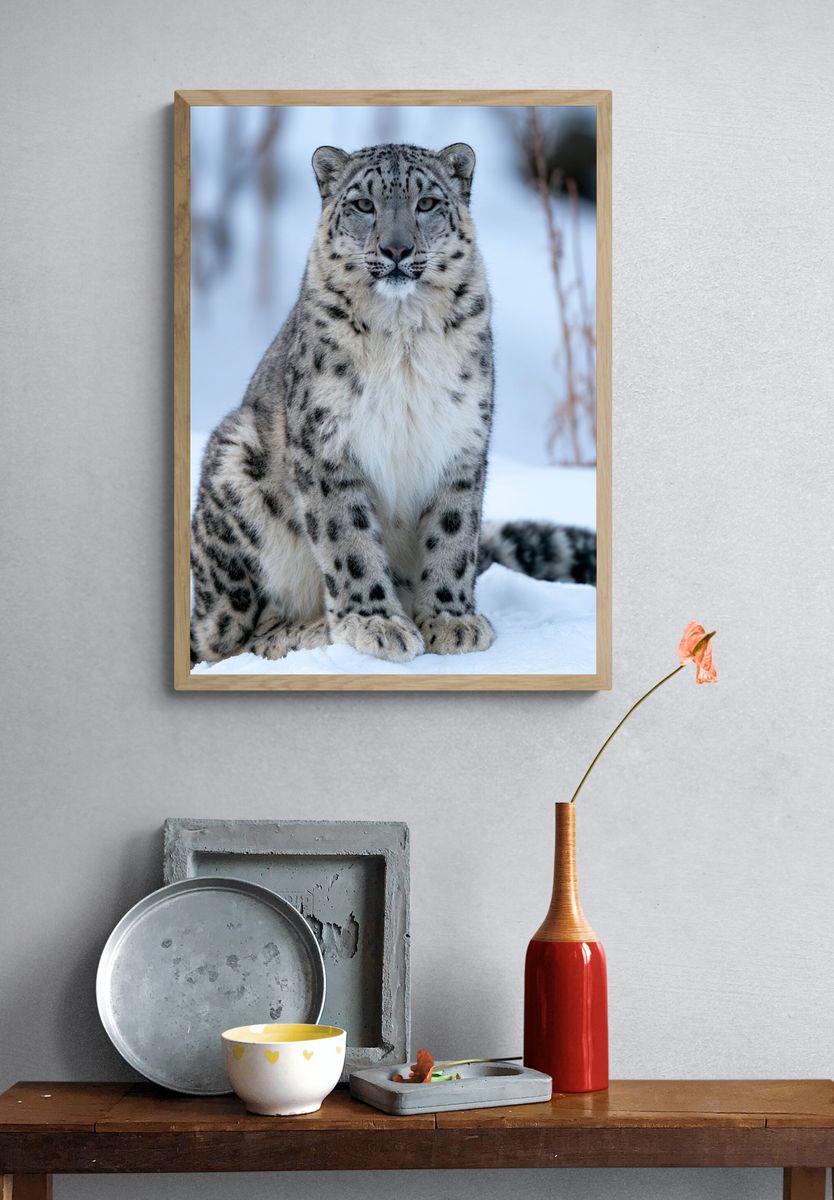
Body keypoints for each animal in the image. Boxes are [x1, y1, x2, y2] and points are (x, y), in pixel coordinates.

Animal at [190, 141, 595, 666]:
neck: (404, 336)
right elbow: (349, 538)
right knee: (228, 638)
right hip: (234, 465)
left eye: (427, 203)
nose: (397, 249)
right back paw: (306, 631)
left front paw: (450, 619)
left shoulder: (461, 439)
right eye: (364, 204)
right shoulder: (328, 445)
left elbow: (454, 534)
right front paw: (375, 624)